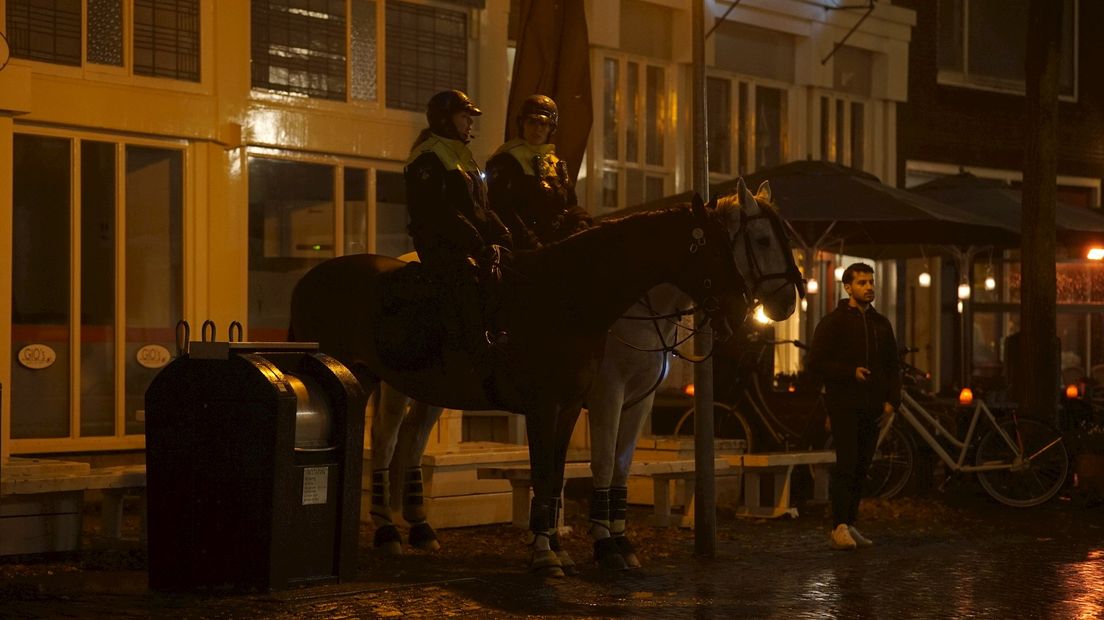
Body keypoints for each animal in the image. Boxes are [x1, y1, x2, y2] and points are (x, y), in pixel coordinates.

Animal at [289, 183, 799, 573]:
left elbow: (607, 468)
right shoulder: (599, 398)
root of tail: (313, 278)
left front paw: (606, 542)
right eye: (761, 240)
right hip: (382, 384)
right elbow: (591, 465)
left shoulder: (634, 401)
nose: (787, 303)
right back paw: (387, 530)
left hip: (428, 389)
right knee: (386, 440)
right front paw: (597, 544)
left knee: (412, 442)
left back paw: (420, 528)